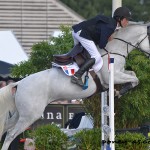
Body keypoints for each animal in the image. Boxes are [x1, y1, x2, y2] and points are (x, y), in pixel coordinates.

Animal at [0, 22, 150, 150]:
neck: (115, 49)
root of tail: (19, 83)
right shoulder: (112, 76)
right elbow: (135, 79)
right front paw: (119, 92)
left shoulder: (119, 73)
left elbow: (133, 75)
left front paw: (117, 92)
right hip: (30, 115)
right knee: (11, 134)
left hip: (20, 113)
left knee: (6, 128)